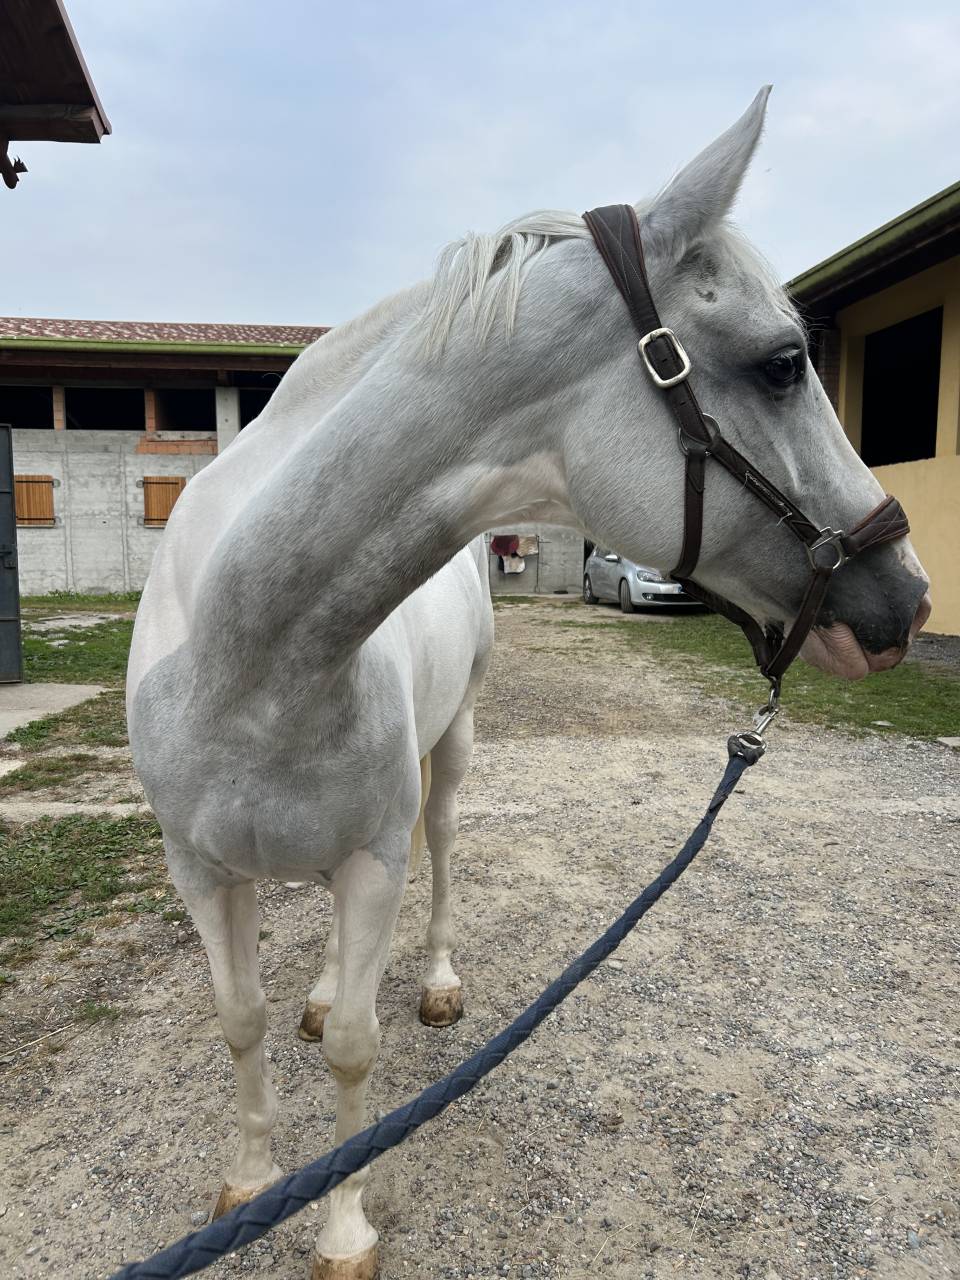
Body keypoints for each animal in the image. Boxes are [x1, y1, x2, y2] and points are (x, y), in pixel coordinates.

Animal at [127, 86, 930, 1279]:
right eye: (785, 361)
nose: (908, 601)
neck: (251, 655)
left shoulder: (372, 857)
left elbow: (357, 1043)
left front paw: (343, 1224)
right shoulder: (197, 867)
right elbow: (241, 1020)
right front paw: (250, 1179)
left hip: (451, 758)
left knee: (444, 855)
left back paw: (434, 980)